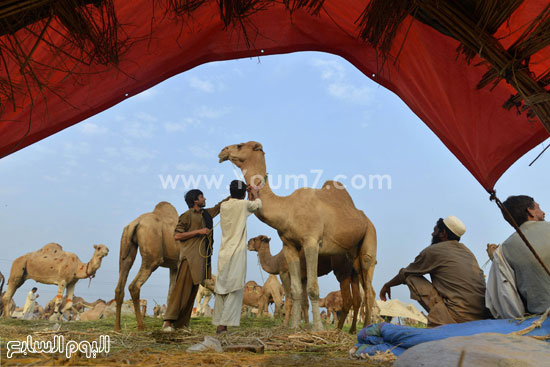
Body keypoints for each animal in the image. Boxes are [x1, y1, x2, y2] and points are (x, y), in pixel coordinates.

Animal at [114, 203, 181, 332]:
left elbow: (171, 293)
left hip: (125, 249)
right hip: (153, 259)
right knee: (134, 286)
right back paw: (141, 327)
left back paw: (117, 328)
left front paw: (167, 325)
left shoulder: (173, 266)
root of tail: (135, 223)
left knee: (119, 287)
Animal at [221, 141, 380, 330]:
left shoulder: (311, 241)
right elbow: (296, 291)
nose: (222, 152)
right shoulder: (289, 245)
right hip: (351, 257)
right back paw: (348, 329)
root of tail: (366, 219)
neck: (287, 209)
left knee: (369, 289)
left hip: (370, 238)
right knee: (360, 291)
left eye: (239, 145)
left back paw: (367, 327)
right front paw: (294, 326)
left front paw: (318, 329)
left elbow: (312, 289)